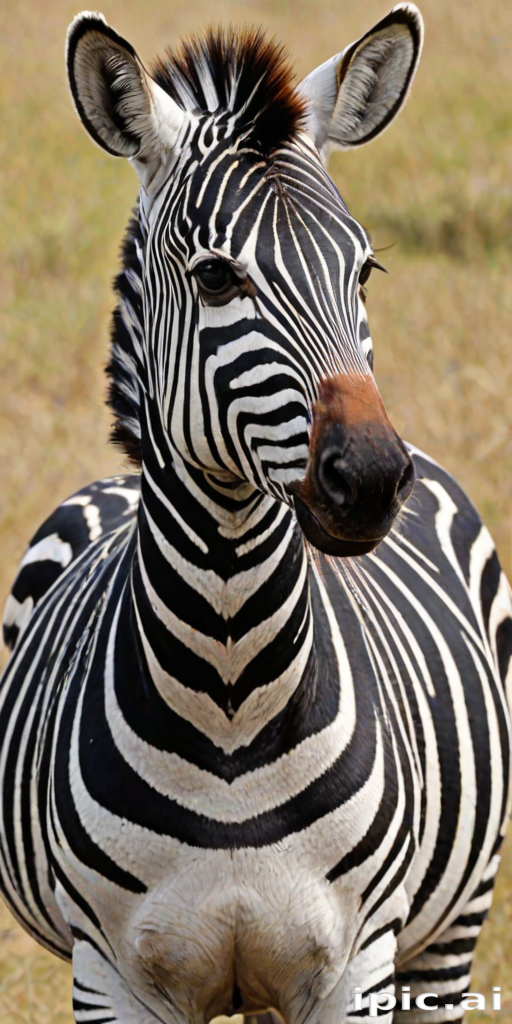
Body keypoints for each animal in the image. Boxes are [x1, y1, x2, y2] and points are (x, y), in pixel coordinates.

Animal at [1, 5, 511, 1023]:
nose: (372, 477)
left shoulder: (358, 966)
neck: (233, 683)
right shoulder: (107, 973)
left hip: (451, 933)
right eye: (215, 279)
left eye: (365, 269)